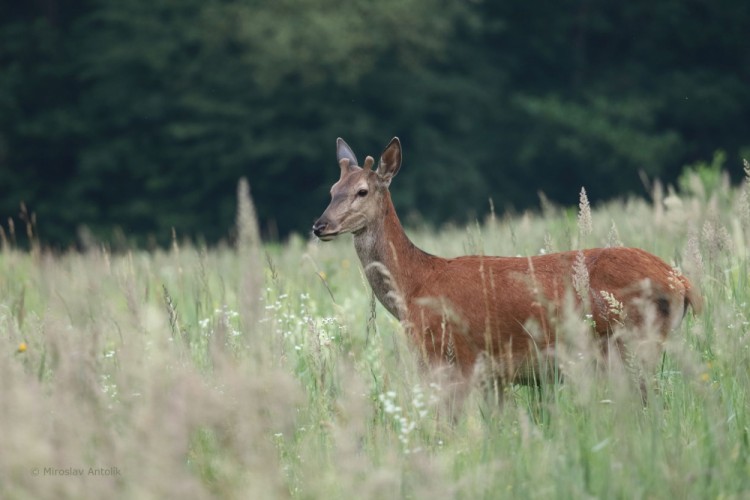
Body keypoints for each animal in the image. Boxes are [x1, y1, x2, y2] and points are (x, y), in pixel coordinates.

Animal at [312, 136, 704, 406]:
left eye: (362, 191)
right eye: (332, 189)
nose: (320, 225)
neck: (413, 289)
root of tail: (682, 282)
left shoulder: (454, 358)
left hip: (631, 343)